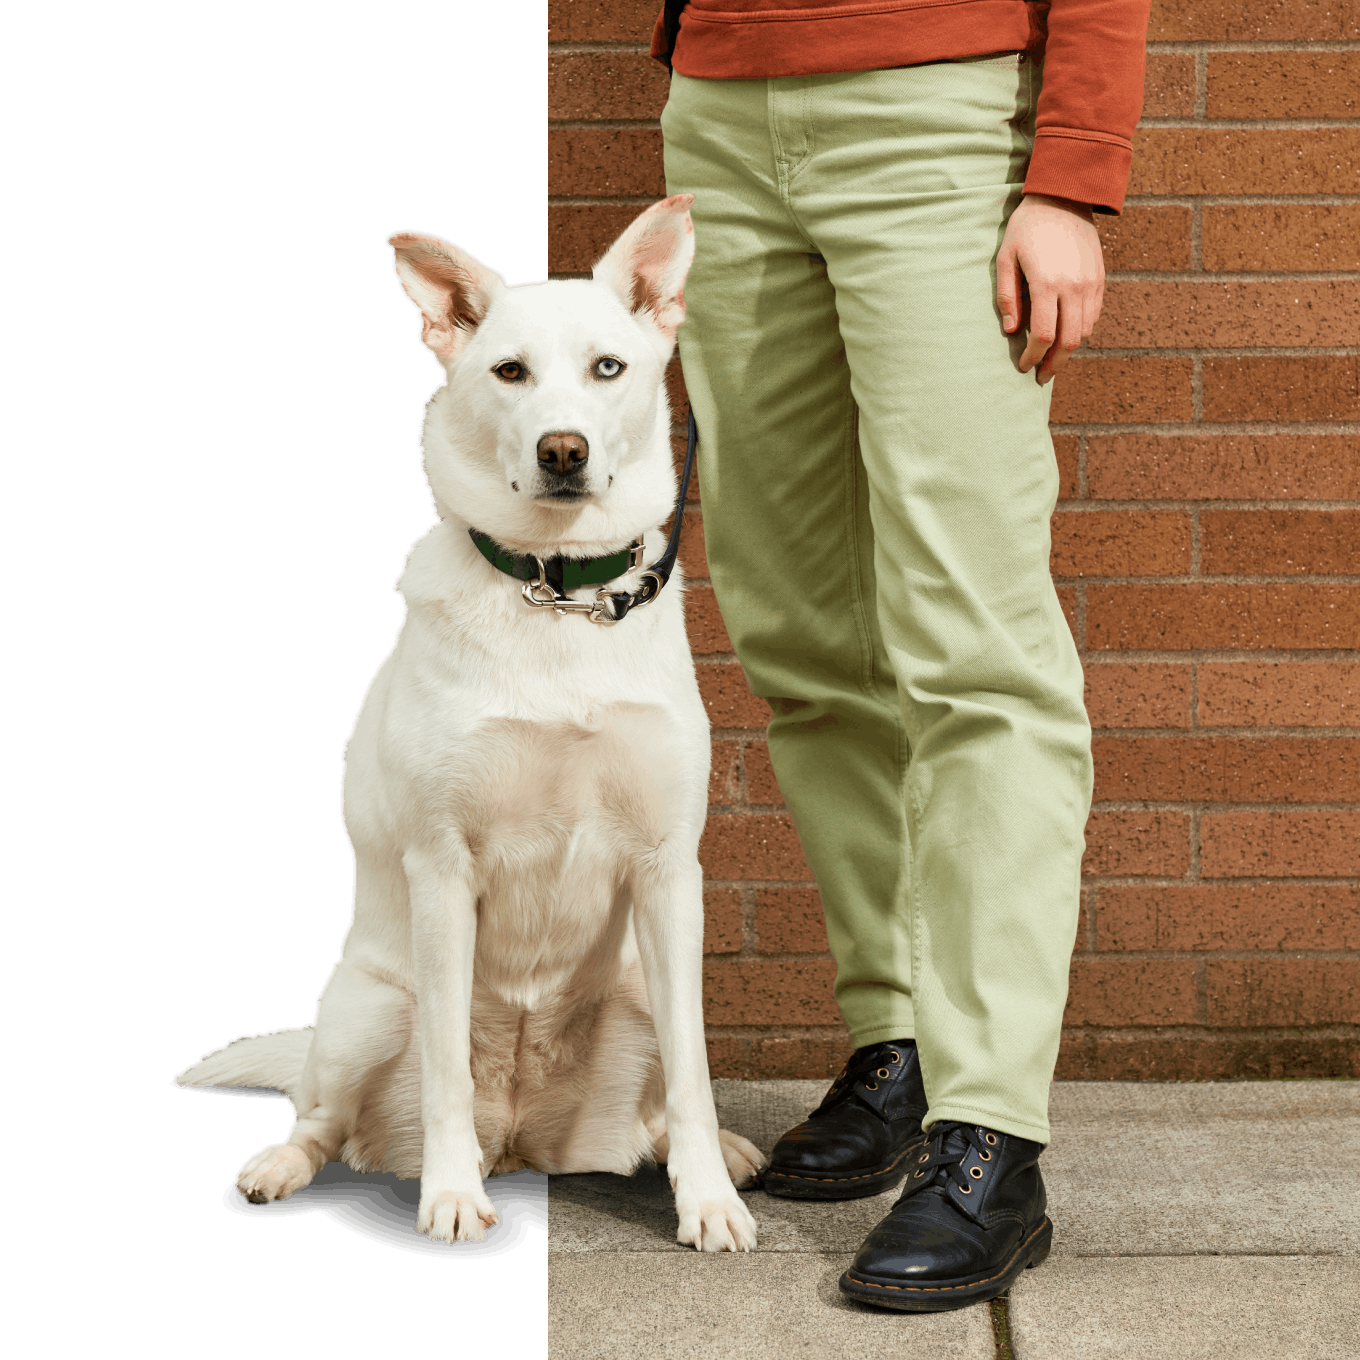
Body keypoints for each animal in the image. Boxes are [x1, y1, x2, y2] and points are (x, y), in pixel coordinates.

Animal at [172, 194, 767, 1251]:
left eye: (608, 367)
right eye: (509, 371)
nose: (563, 451)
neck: (556, 597)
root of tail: (525, 1142)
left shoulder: (670, 872)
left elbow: (697, 1077)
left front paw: (709, 1204)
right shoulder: (443, 868)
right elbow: (447, 1065)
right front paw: (449, 1199)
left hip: (637, 989)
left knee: (659, 1104)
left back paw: (716, 1156)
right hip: (365, 1005)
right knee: (322, 1116)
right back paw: (285, 1167)